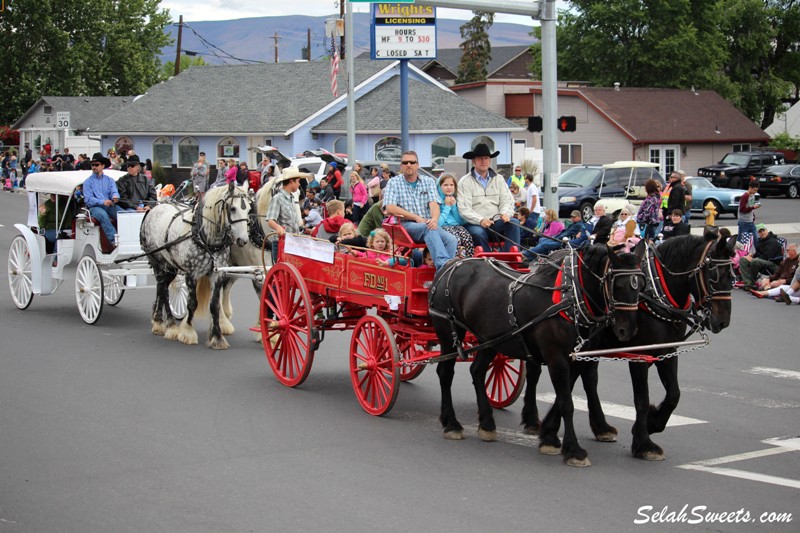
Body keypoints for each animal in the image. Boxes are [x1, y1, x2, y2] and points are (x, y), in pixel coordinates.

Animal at [428, 242, 648, 466]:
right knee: (445, 373)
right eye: (617, 285)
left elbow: (564, 397)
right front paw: (574, 449)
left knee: (477, 371)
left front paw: (550, 437)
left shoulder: (577, 358)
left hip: (489, 341)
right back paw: (452, 423)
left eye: (640, 285)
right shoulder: (556, 358)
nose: (628, 330)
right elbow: (567, 403)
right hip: (449, 334)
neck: (570, 299)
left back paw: (487, 424)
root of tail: (451, 264)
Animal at [528, 231, 736, 460]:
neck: (657, 294)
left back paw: (599, 427)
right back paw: (534, 421)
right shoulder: (639, 357)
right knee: (537, 374)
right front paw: (644, 442)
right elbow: (641, 400)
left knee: (587, 380)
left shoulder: (667, 352)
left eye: (732, 276)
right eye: (714, 275)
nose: (723, 321)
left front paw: (653, 423)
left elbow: (674, 394)